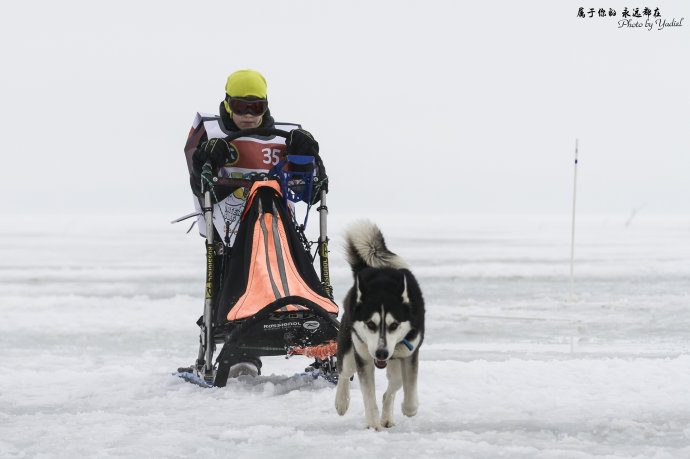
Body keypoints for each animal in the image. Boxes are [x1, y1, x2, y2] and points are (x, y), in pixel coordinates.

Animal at [334, 221, 424, 430]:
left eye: (394, 325)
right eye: (370, 324)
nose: (381, 353)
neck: (383, 288)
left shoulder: (409, 354)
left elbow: (410, 394)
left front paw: (408, 408)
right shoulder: (363, 357)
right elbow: (368, 396)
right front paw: (373, 425)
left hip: (397, 361)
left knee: (393, 386)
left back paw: (388, 417)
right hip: (350, 347)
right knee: (344, 372)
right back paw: (341, 402)